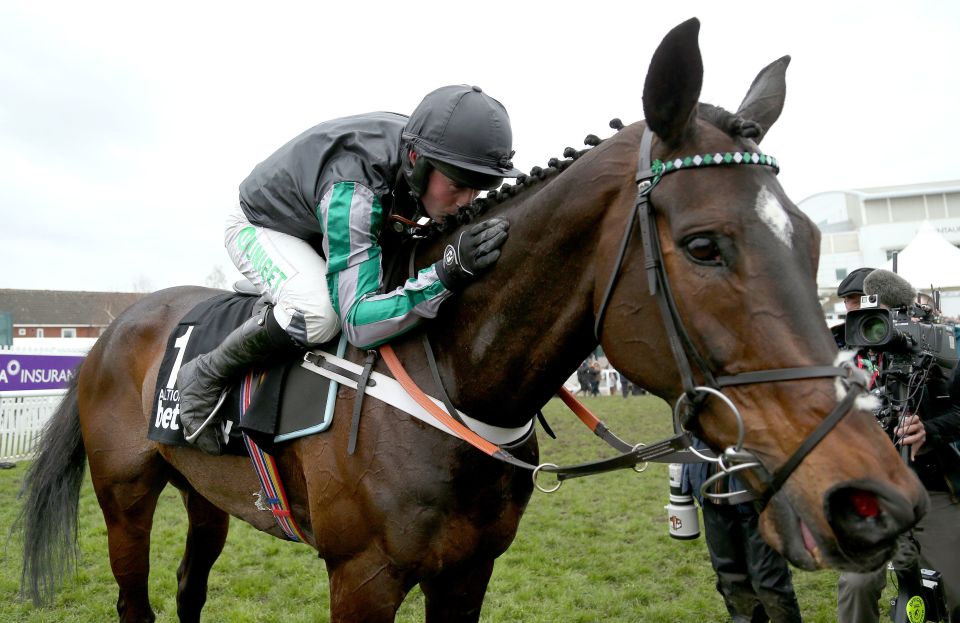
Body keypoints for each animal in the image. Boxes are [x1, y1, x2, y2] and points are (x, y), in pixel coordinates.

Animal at [16, 17, 928, 620]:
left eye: (812, 240)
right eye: (705, 245)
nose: (875, 500)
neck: (453, 378)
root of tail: (115, 329)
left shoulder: (468, 571)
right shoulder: (362, 577)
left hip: (203, 492)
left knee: (189, 585)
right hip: (125, 496)